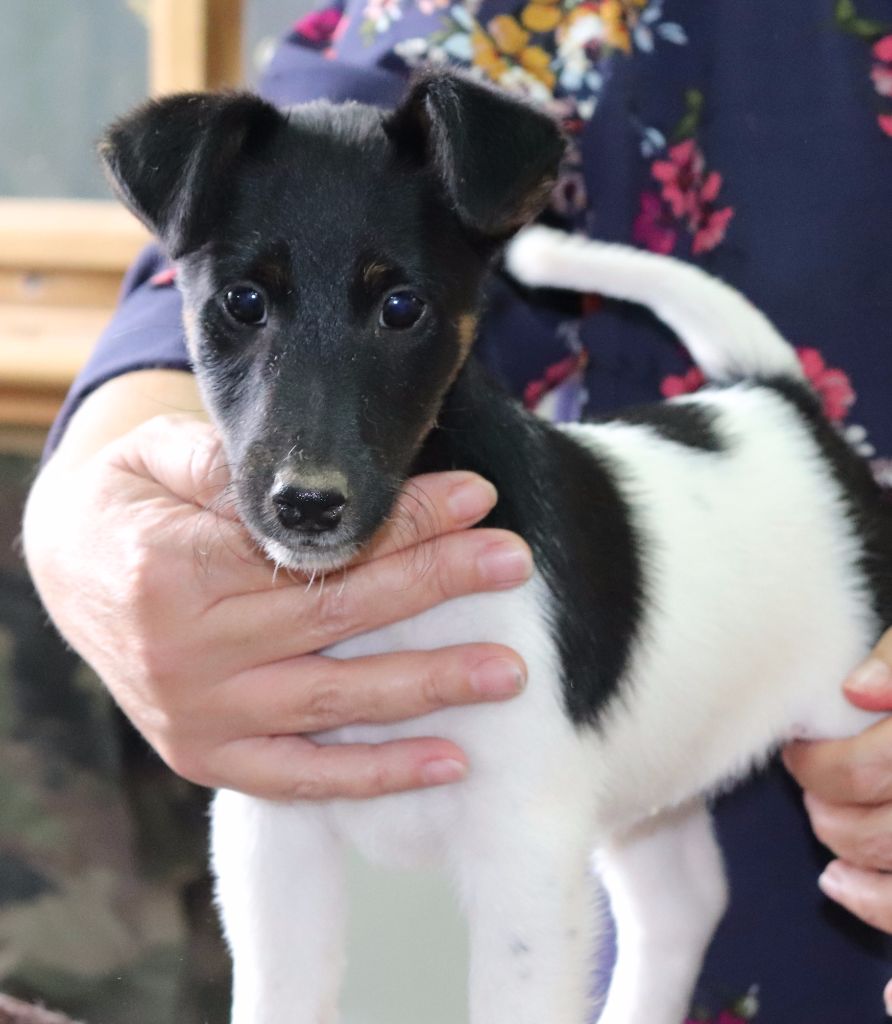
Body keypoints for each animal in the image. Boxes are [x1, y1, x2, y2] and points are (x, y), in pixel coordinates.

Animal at [99, 72, 892, 1024]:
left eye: (402, 308)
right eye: (242, 302)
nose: (306, 504)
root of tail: (781, 405)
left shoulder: (523, 857)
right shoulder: (275, 842)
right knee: (683, 901)